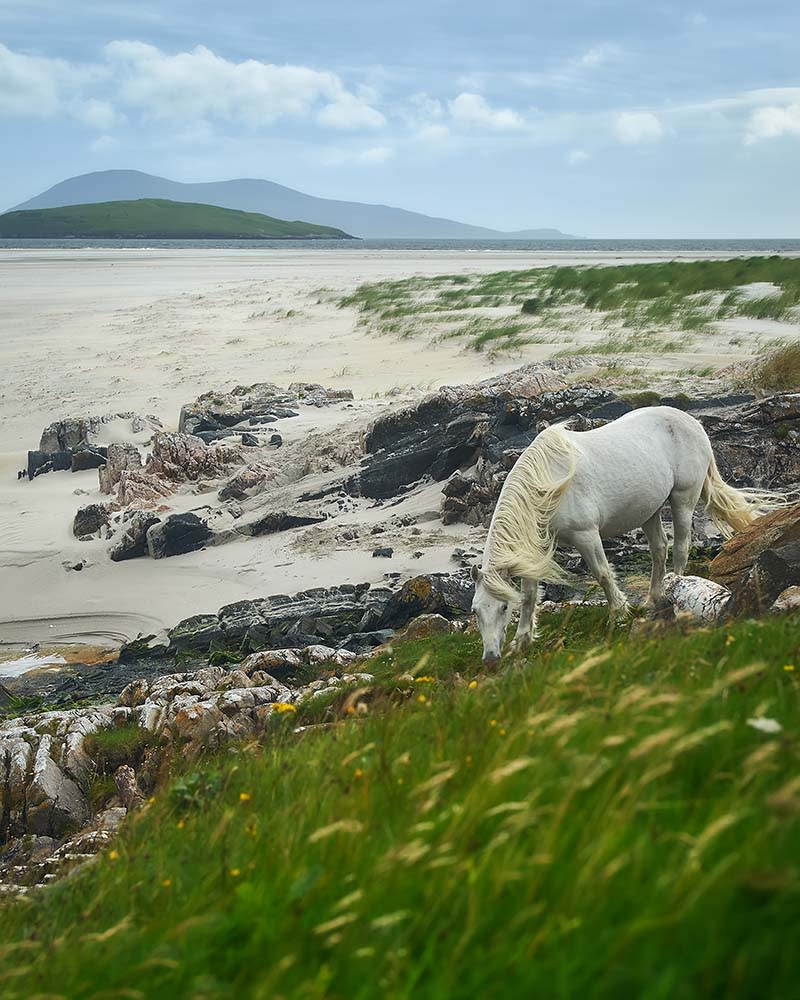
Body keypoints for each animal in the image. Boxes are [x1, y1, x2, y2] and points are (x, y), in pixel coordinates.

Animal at [472, 406, 784, 664]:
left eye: (503, 607)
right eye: (476, 610)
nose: (490, 659)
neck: (548, 486)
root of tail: (692, 422)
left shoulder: (586, 536)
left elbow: (602, 575)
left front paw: (618, 616)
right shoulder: (533, 550)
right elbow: (529, 595)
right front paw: (521, 641)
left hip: (683, 499)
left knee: (681, 548)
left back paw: (674, 596)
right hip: (650, 510)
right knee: (659, 549)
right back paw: (653, 599)